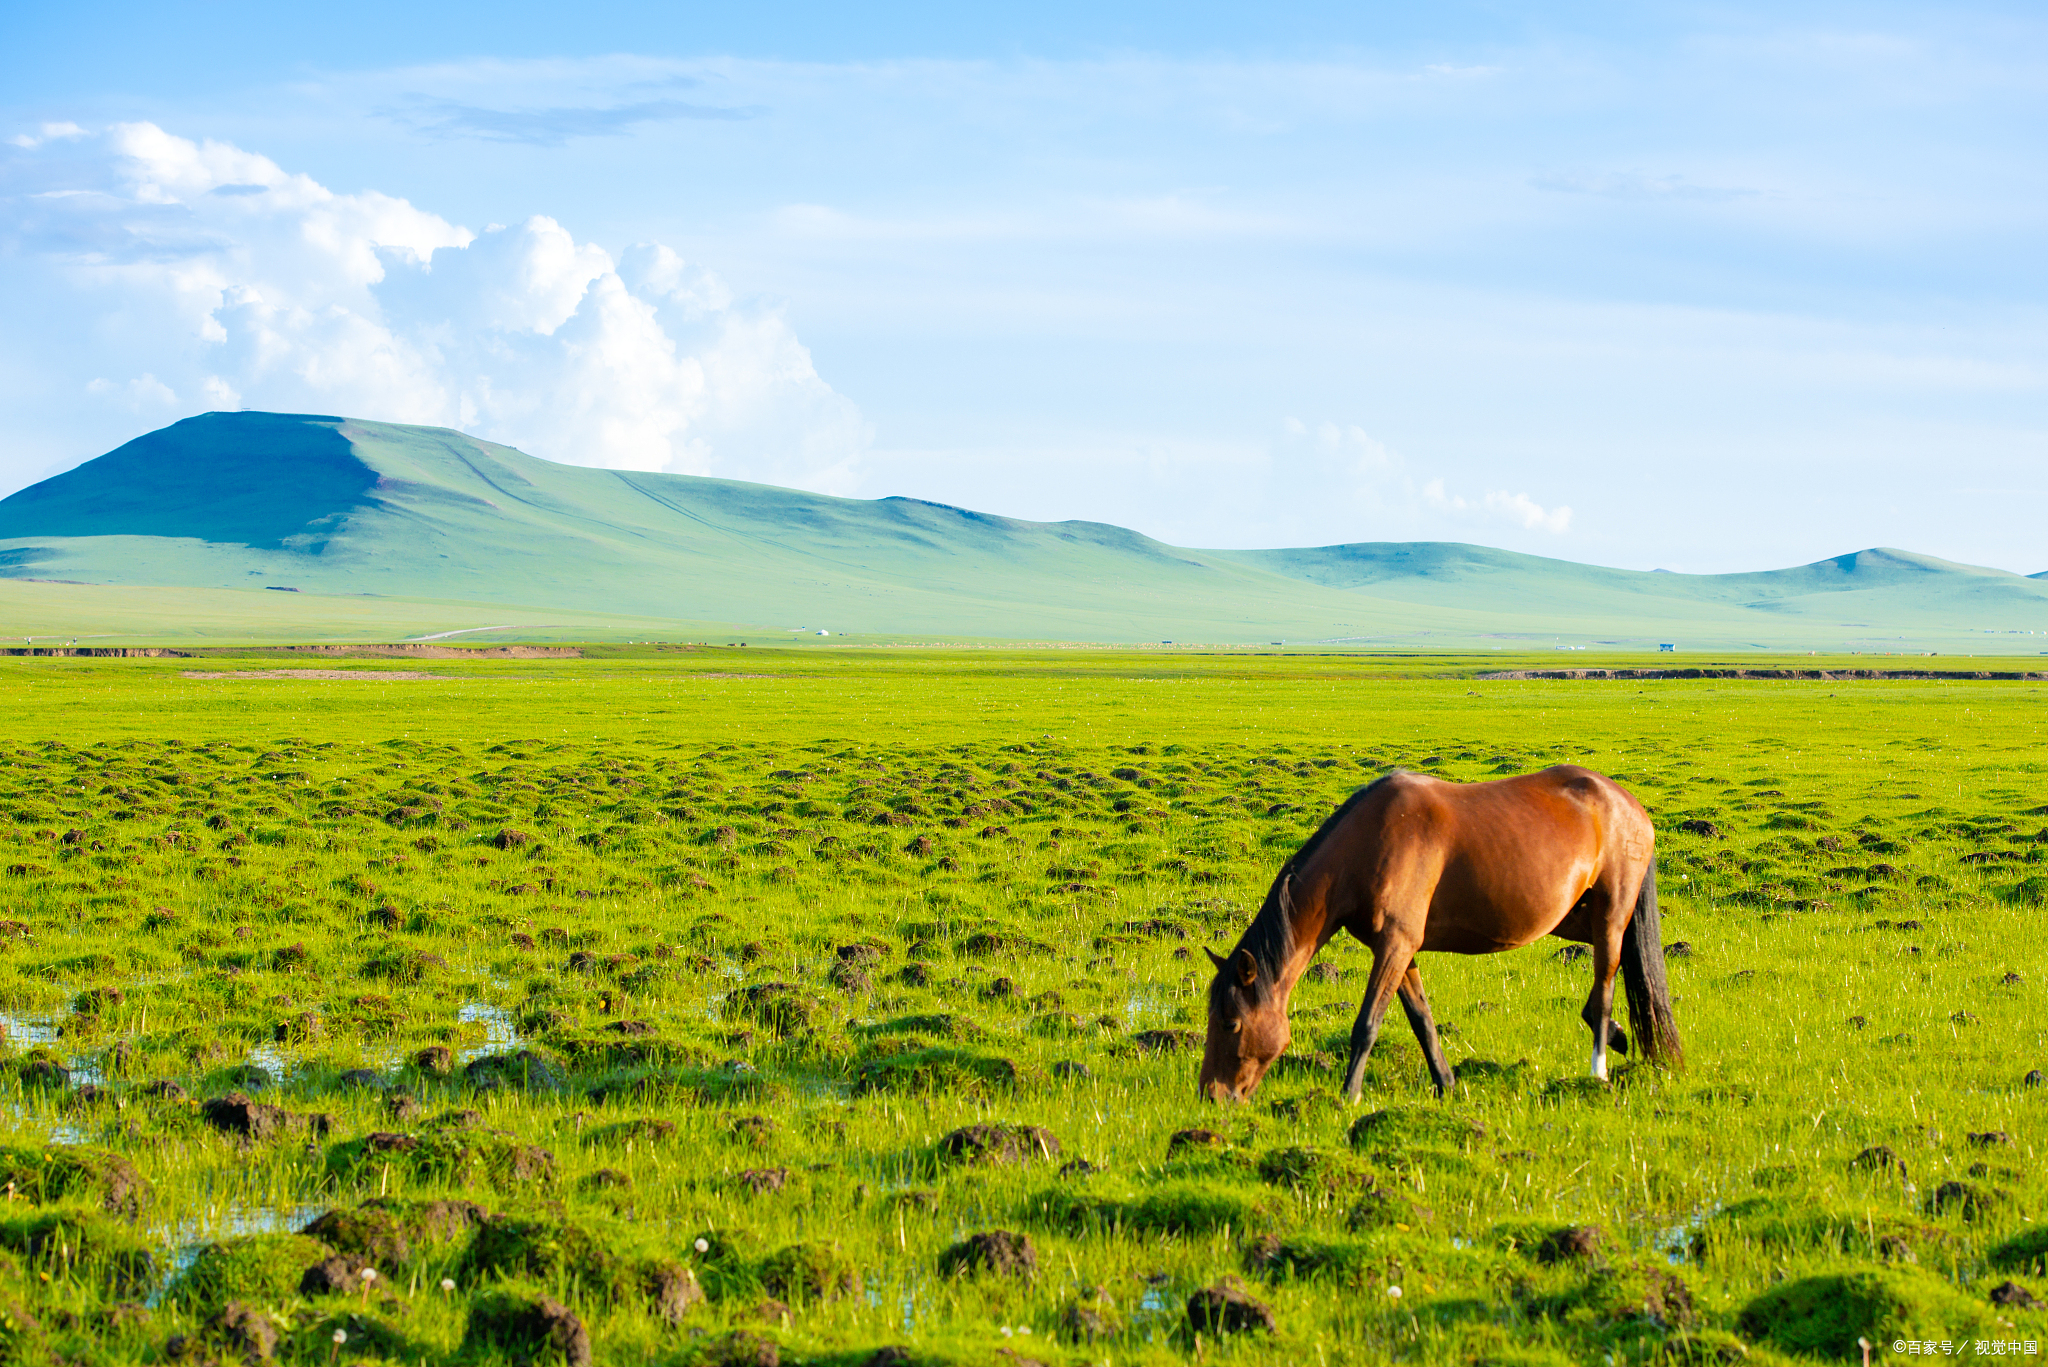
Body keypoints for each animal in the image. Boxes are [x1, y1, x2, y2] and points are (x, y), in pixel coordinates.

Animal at [1196, 766, 1679, 1106]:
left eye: (1231, 1023)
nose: (1211, 1096)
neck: (1366, 845)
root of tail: (1629, 805)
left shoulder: (1394, 946)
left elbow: (1367, 1024)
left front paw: (1348, 1096)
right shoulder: (1402, 950)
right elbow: (1422, 1021)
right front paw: (1446, 1083)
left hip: (1610, 915)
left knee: (1605, 988)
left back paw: (1597, 1072)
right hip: (1575, 917)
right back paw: (1618, 1035)